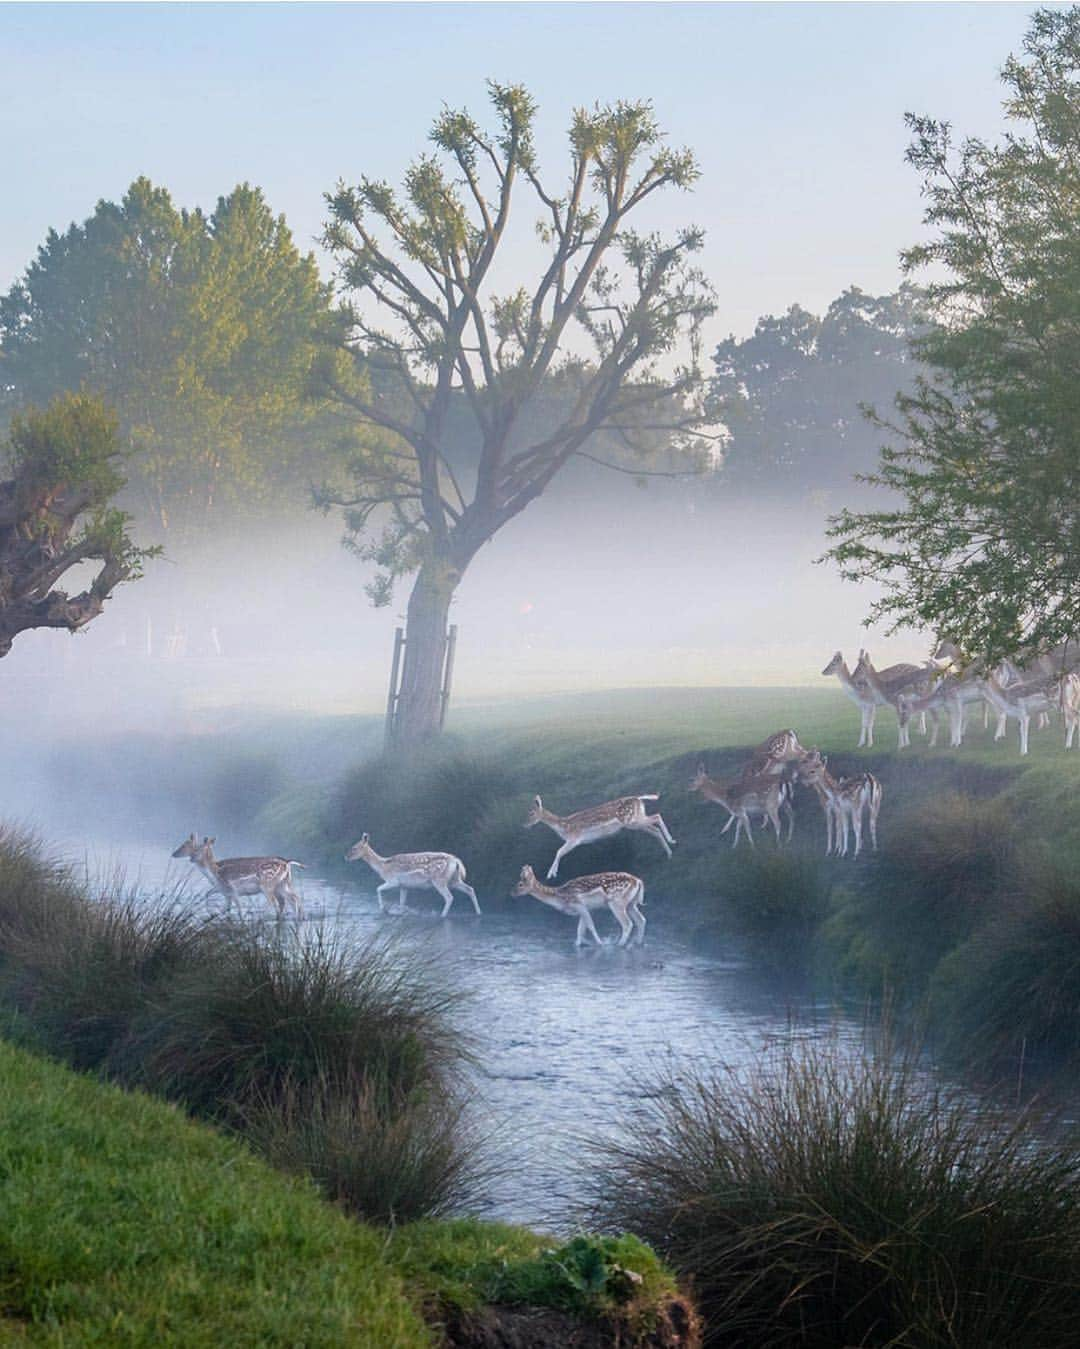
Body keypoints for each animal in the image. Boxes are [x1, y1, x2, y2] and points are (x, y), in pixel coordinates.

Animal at [170, 830, 303, 917]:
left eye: (186, 845)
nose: (174, 853)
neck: (214, 873)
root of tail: (287, 862)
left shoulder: (231, 889)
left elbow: (238, 909)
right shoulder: (223, 891)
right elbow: (217, 902)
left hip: (268, 884)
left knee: (275, 903)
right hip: (283, 883)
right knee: (294, 898)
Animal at [345, 830, 480, 917]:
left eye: (355, 847)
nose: (346, 857)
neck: (382, 866)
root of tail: (457, 862)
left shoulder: (393, 881)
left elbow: (378, 888)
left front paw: (383, 909)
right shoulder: (404, 886)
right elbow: (401, 903)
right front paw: (398, 912)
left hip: (439, 879)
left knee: (449, 897)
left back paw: (442, 915)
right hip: (454, 879)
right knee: (470, 889)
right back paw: (479, 912)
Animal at [506, 863, 641, 949]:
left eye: (520, 884)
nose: (512, 893)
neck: (560, 897)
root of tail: (638, 881)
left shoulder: (579, 904)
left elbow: (590, 926)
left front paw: (601, 943)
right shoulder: (585, 909)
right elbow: (580, 930)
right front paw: (577, 945)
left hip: (616, 902)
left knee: (628, 923)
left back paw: (620, 944)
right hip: (631, 903)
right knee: (641, 920)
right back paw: (635, 943)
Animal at [525, 787, 674, 884]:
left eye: (531, 813)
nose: (525, 825)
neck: (562, 826)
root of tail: (638, 798)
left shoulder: (574, 838)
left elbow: (559, 851)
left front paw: (551, 874)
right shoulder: (573, 840)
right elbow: (560, 852)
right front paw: (552, 873)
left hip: (632, 821)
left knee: (656, 817)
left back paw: (671, 842)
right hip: (637, 819)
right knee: (654, 829)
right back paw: (669, 851)